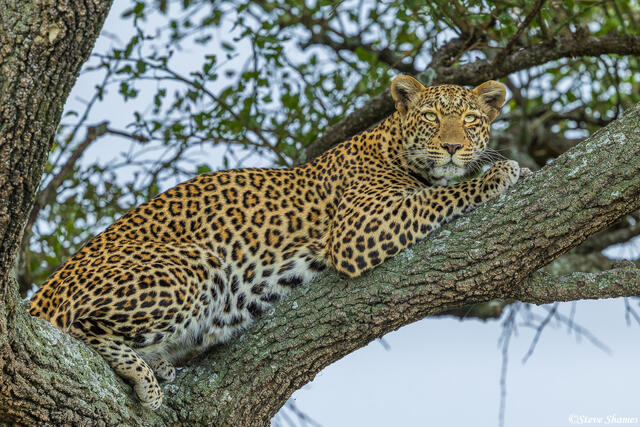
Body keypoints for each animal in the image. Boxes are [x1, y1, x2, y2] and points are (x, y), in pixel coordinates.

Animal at [29, 75, 520, 409]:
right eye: (431, 118)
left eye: (471, 120)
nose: (454, 147)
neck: (395, 146)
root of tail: (42, 293)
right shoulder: (360, 225)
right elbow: (439, 197)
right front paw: (500, 172)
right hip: (195, 265)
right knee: (78, 328)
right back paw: (145, 376)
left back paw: (159, 364)